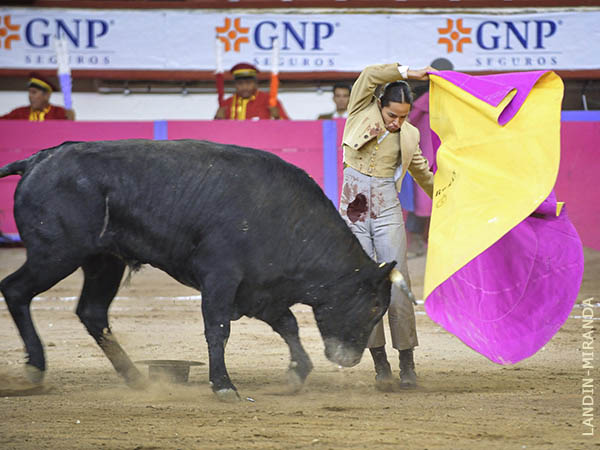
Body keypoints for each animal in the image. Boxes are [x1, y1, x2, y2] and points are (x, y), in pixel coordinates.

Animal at [1, 139, 398, 400]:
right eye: (375, 307)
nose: (350, 359)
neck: (286, 219)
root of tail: (38, 159)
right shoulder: (221, 278)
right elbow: (218, 329)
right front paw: (223, 385)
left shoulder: (262, 291)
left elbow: (288, 325)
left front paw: (297, 373)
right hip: (55, 254)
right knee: (16, 289)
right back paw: (36, 367)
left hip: (103, 261)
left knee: (92, 311)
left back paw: (135, 377)